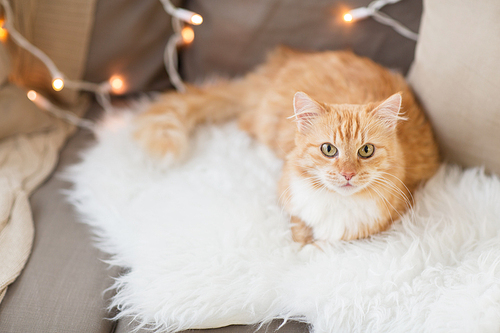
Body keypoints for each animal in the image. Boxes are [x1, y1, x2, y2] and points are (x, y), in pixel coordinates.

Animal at [134, 47, 442, 244]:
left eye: (366, 151)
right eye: (329, 149)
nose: (347, 174)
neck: (337, 202)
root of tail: (284, 61)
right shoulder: (290, 197)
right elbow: (299, 227)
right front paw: (302, 244)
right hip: (266, 121)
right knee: (247, 124)